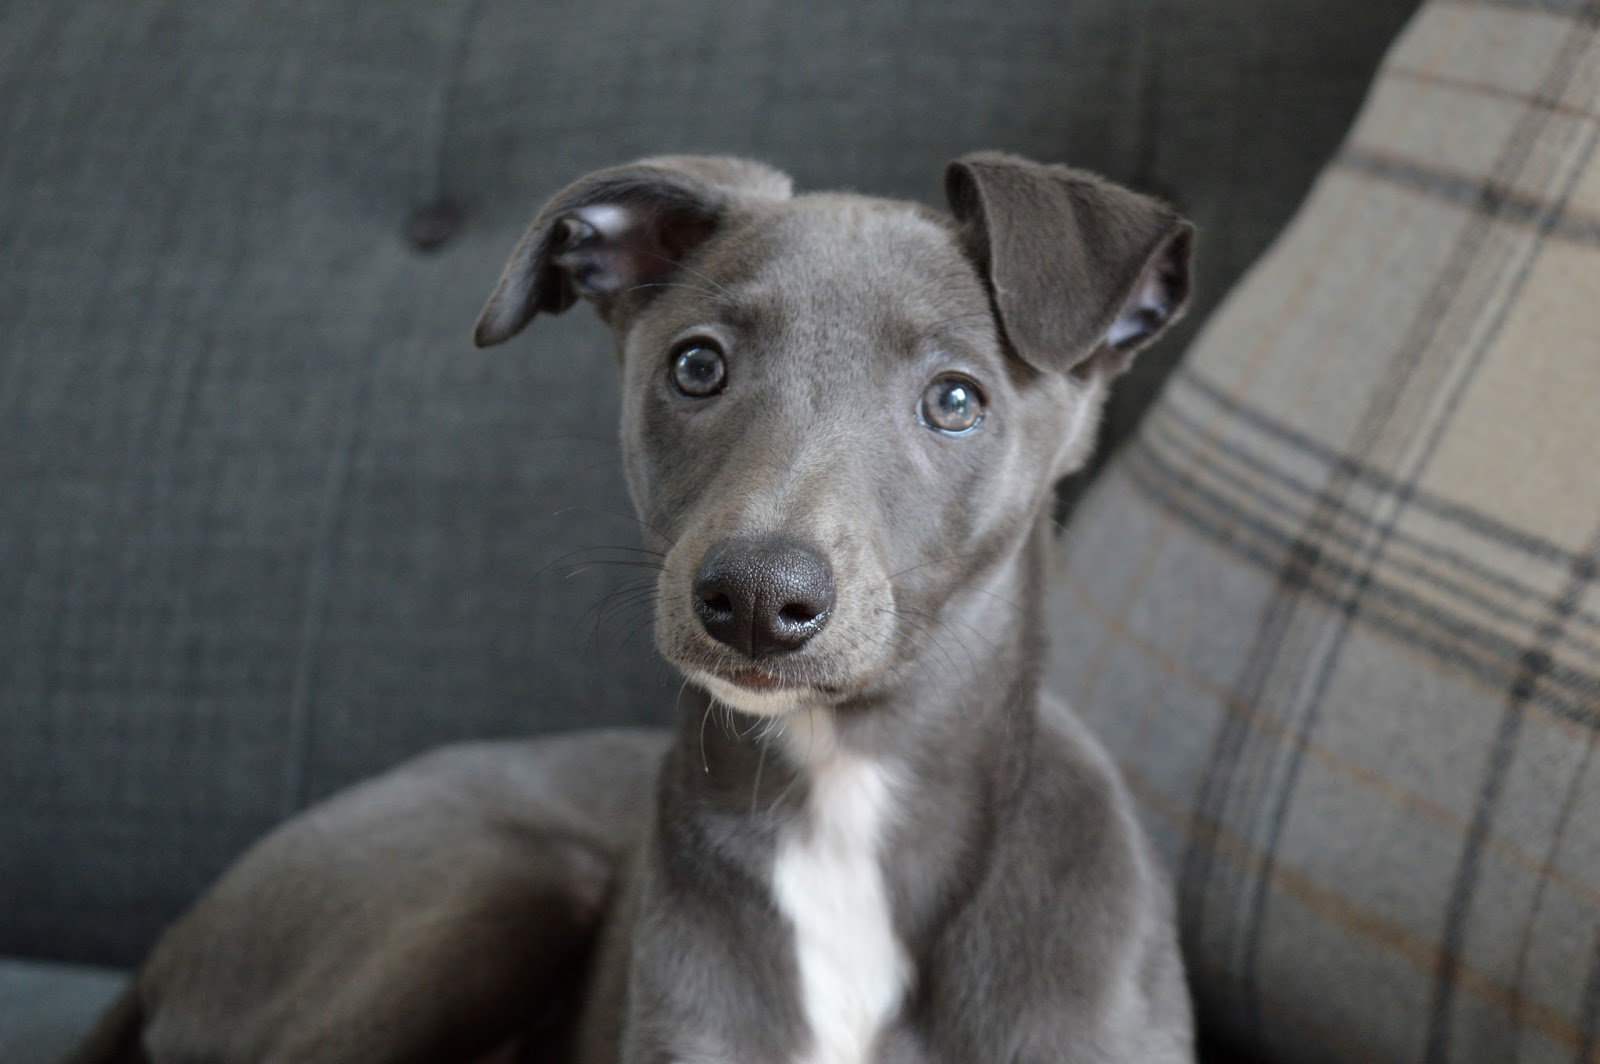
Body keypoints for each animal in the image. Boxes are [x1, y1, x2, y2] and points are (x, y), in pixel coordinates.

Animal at [72, 153, 1203, 1062]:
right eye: (696, 364)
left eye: (956, 399)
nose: (756, 598)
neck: (849, 804)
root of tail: (168, 949)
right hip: (500, 881)